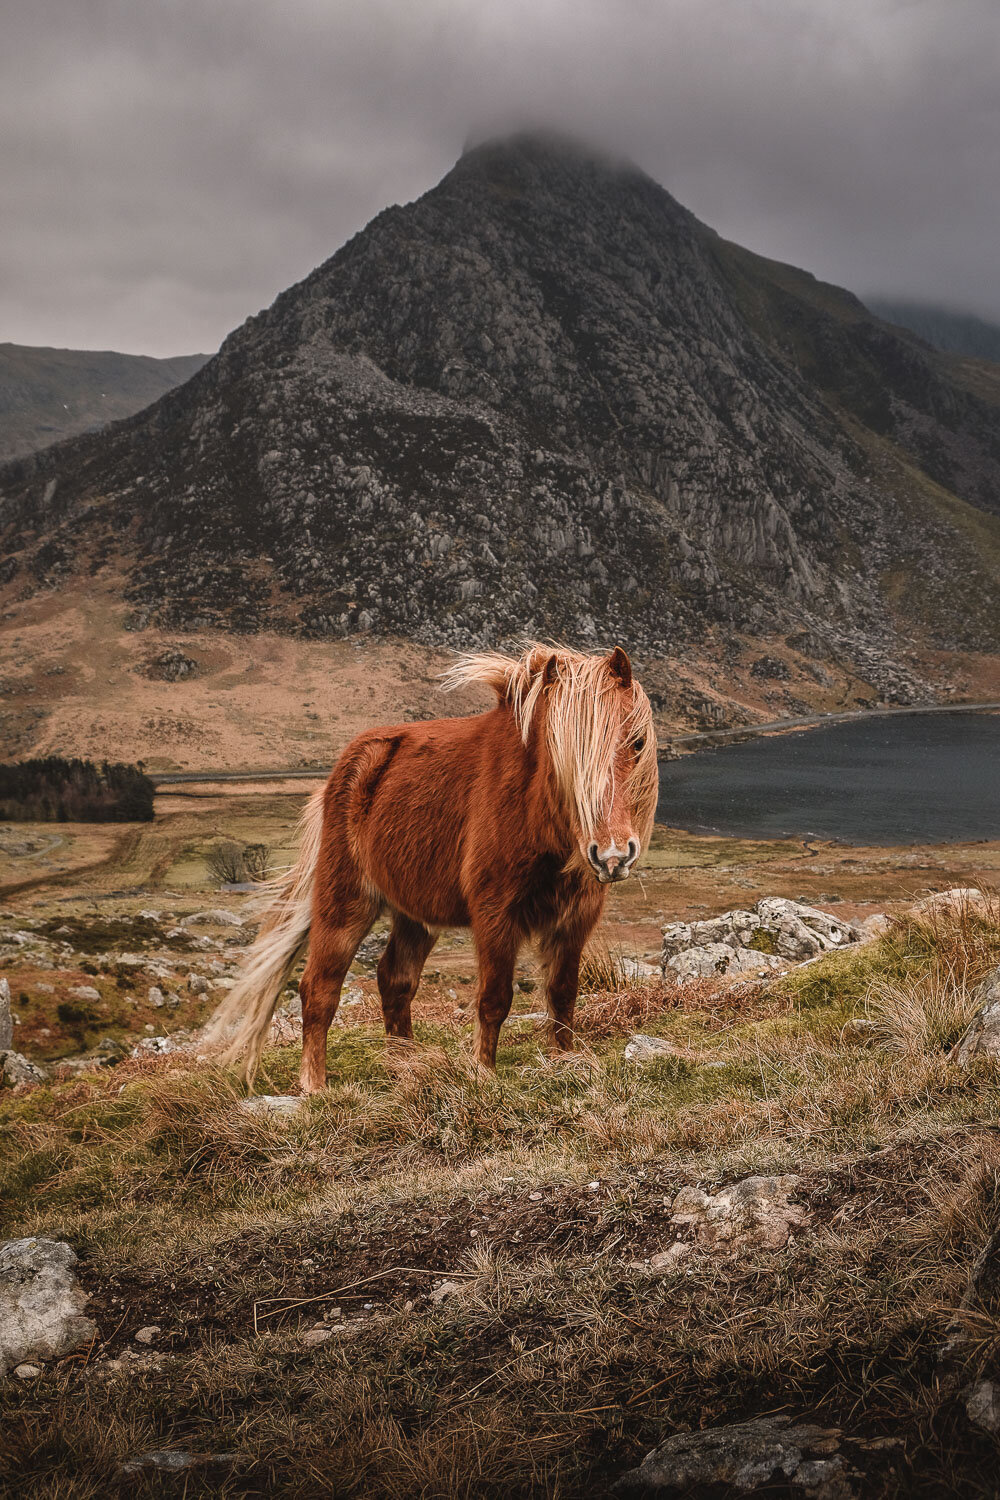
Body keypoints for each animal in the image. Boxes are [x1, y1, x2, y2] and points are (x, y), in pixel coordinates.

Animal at [206, 643, 658, 1093]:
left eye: (636, 743)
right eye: (563, 752)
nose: (613, 855)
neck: (537, 813)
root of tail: (342, 771)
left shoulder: (577, 919)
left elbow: (563, 994)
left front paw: (567, 1064)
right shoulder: (494, 916)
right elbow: (494, 998)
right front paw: (482, 1073)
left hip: (414, 915)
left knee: (394, 980)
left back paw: (403, 1064)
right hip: (345, 904)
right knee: (320, 987)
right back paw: (315, 1085)